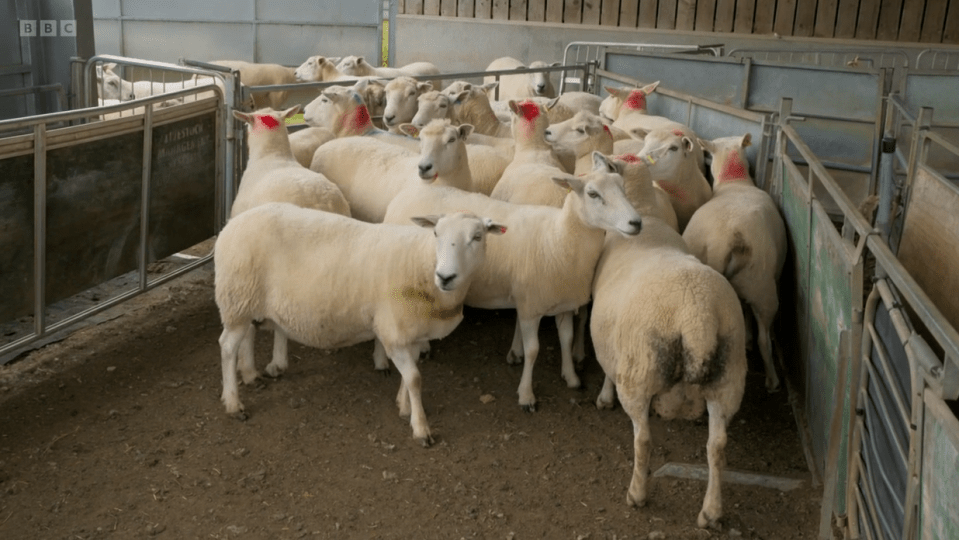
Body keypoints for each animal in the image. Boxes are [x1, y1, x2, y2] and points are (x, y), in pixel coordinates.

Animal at [215, 205, 506, 446]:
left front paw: (404, 407)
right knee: (227, 346)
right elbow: (414, 378)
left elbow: (410, 374)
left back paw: (250, 375)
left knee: (247, 334)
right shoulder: (394, 332)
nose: (445, 277)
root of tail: (230, 225)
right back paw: (234, 403)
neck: (422, 262)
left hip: (246, 300)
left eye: (478, 237)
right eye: (435, 233)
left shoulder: (408, 332)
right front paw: (421, 428)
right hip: (237, 294)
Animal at [384, 152, 644, 410]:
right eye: (592, 194)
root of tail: (406, 195)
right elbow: (532, 351)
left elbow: (566, 338)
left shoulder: (564, 303)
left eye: (622, 187)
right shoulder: (531, 306)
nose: (636, 222)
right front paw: (526, 395)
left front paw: (571, 377)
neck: (558, 237)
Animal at [584, 153, 752, 528]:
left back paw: (637, 493)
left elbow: (606, 368)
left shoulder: (614, 341)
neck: (646, 214)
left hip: (640, 369)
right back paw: (711, 512)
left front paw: (603, 397)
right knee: (717, 446)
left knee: (643, 439)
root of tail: (697, 317)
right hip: (729, 376)